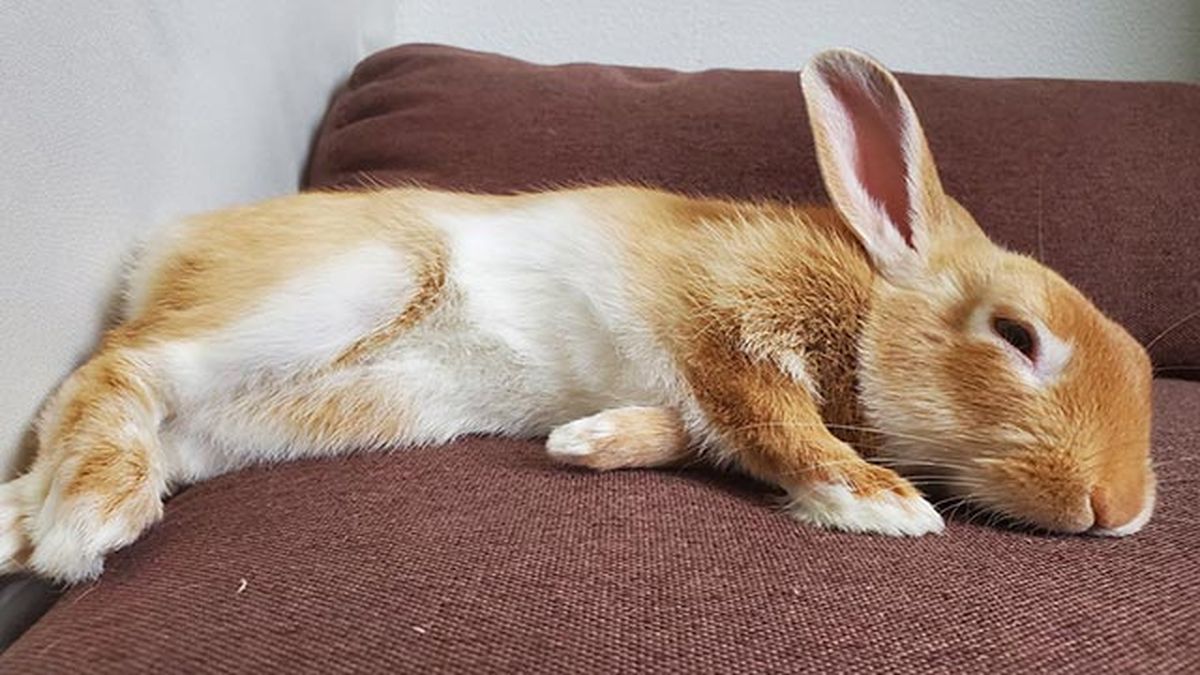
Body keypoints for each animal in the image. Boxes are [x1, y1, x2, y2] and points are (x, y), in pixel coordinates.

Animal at [0, 49, 1155, 584]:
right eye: (1017, 337)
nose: (1123, 510)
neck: (866, 309)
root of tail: (162, 256)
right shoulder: (720, 323)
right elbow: (770, 420)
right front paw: (881, 503)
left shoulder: (694, 395)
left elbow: (694, 434)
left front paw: (583, 443)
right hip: (350, 286)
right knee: (124, 368)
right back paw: (85, 520)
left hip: (314, 408)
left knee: (154, 426)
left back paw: (26, 523)